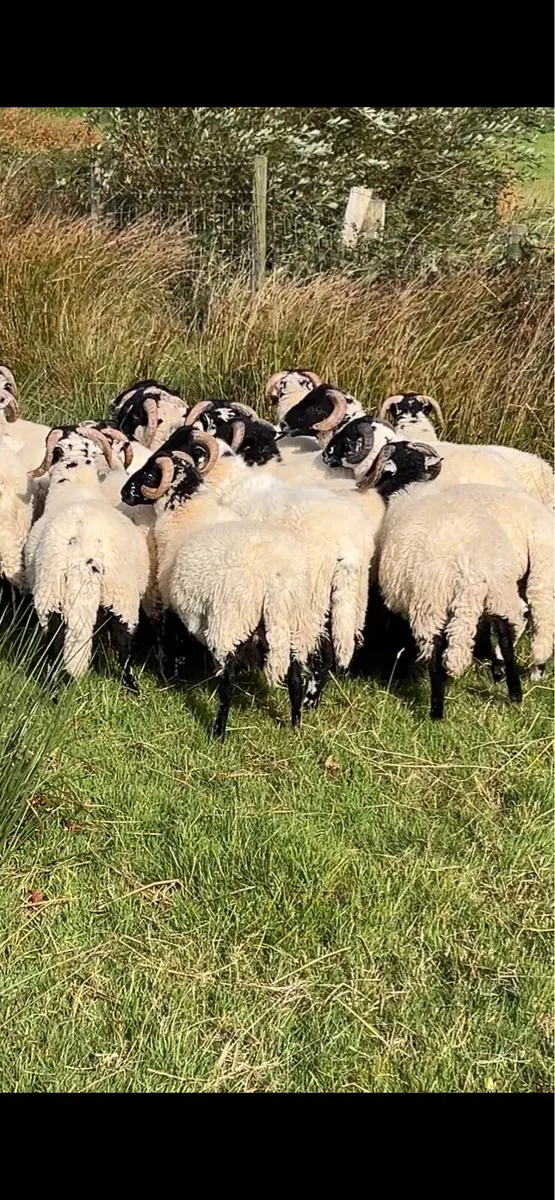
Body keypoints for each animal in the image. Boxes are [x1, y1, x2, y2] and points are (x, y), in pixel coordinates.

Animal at [24, 426, 150, 687]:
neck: (76, 488)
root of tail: (83, 559)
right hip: (120, 598)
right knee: (122, 643)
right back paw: (131, 686)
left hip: (51, 596)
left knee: (56, 643)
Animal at [120, 446, 333, 738]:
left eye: (150, 474)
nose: (123, 492)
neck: (185, 508)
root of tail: (276, 580)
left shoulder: (170, 598)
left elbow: (170, 639)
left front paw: (170, 676)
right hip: (296, 624)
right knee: (296, 675)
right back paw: (295, 724)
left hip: (230, 621)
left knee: (228, 680)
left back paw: (218, 732)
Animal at [361, 441, 529, 718]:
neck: (412, 484)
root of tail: (471, 571)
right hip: (501, 591)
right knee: (505, 637)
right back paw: (513, 691)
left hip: (431, 602)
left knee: (437, 652)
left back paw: (436, 711)